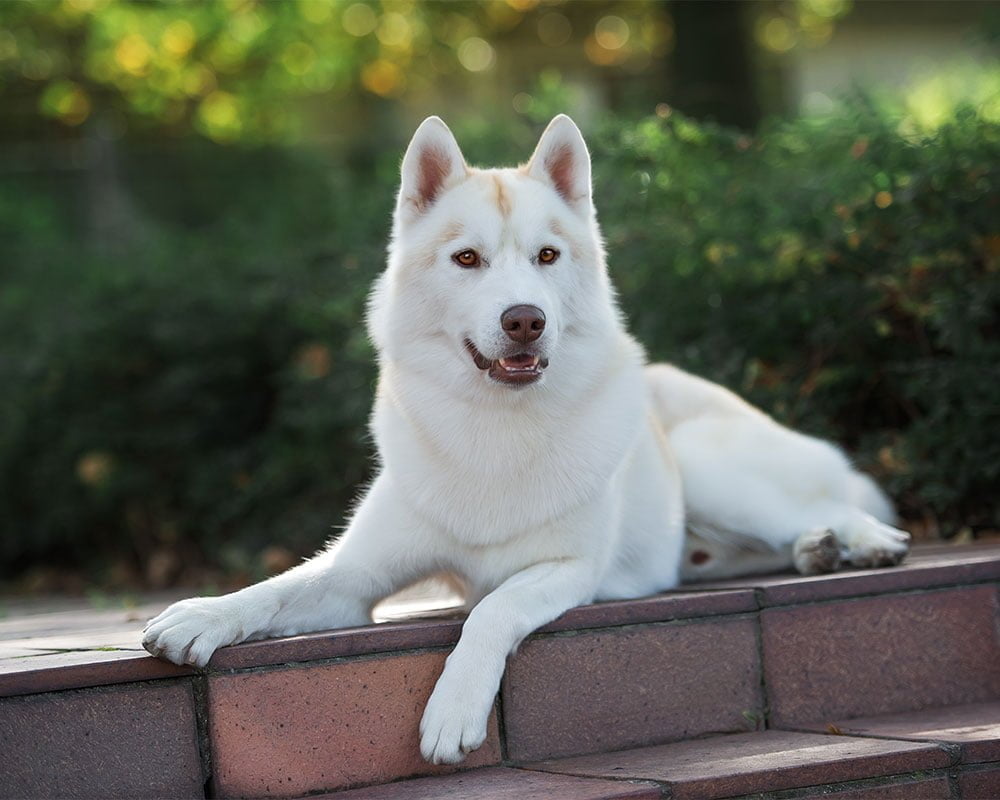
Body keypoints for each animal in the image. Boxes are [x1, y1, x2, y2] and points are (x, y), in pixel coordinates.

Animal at [145, 115, 912, 764]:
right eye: (466, 259)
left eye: (547, 255)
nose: (525, 320)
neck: (494, 430)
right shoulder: (356, 579)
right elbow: (277, 587)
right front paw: (205, 615)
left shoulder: (568, 568)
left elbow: (491, 609)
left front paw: (453, 710)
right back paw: (815, 551)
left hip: (713, 469)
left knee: (829, 503)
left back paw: (861, 542)